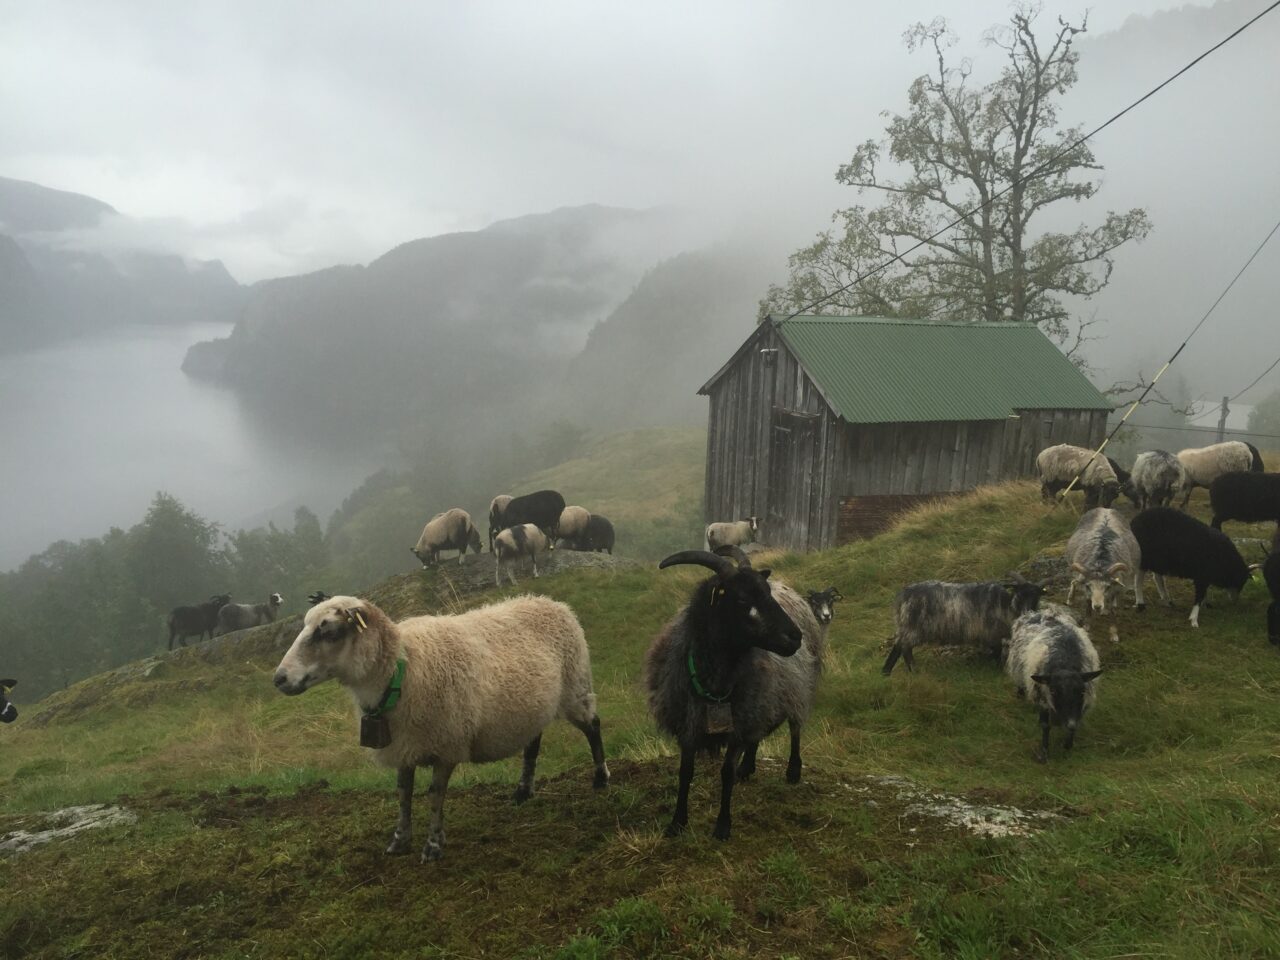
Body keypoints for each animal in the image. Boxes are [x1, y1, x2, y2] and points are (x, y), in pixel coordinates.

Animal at [271, 593, 609, 865]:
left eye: (328, 631)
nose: (279, 679)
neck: (399, 669)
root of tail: (552, 602)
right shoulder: (403, 745)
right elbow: (403, 793)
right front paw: (399, 840)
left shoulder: (446, 744)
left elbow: (434, 796)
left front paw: (433, 846)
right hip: (534, 705)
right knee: (533, 743)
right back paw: (523, 791)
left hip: (575, 686)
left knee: (593, 727)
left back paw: (601, 778)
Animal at [880, 578, 1049, 675]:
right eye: (1019, 593)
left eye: (1037, 595)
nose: (1027, 612)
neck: (1006, 605)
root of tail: (903, 596)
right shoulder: (992, 634)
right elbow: (996, 653)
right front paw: (996, 670)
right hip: (914, 628)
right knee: (905, 647)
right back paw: (913, 670)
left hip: (905, 626)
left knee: (898, 646)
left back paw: (886, 671)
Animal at [1003, 616, 1105, 768]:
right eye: (1053, 691)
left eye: (1082, 691)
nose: (1070, 723)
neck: (1065, 663)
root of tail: (1041, 613)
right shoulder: (1044, 701)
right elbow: (1046, 726)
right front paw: (1044, 754)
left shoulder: (1082, 706)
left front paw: (1067, 745)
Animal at [1064, 512, 1146, 640]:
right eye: (1088, 586)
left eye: (1107, 586)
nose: (1097, 606)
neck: (1100, 561)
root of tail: (1105, 509)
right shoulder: (1086, 588)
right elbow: (1088, 606)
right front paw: (1087, 626)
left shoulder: (1117, 588)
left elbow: (1113, 610)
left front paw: (1113, 633)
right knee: (1074, 582)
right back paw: (1070, 600)